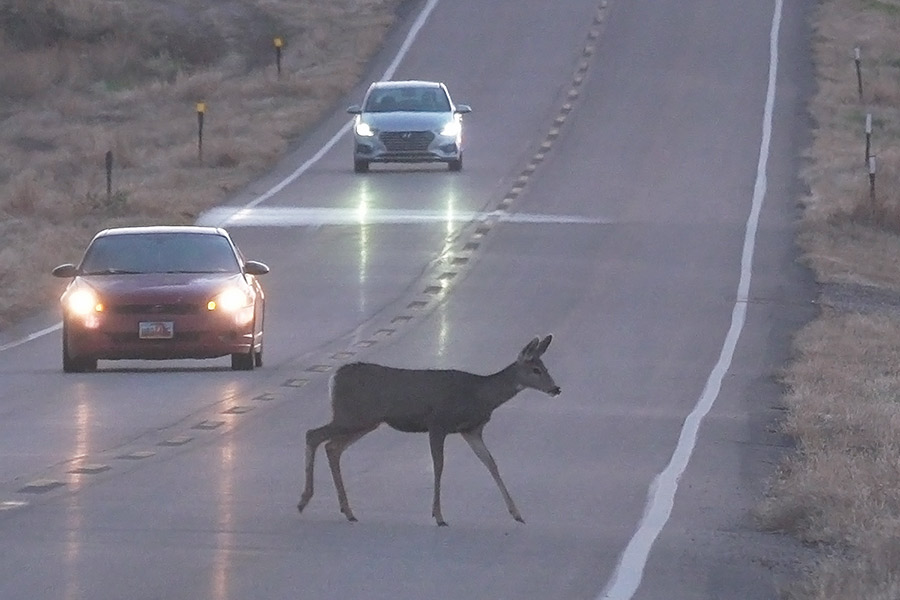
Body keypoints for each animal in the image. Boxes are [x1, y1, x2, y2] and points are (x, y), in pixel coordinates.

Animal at [298, 336, 560, 528]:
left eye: (545, 367)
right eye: (536, 369)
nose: (556, 388)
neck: (479, 395)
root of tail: (333, 378)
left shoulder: (471, 431)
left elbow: (491, 464)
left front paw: (517, 513)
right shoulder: (437, 423)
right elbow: (439, 465)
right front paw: (439, 516)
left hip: (365, 422)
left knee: (332, 447)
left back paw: (347, 511)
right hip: (352, 416)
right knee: (313, 435)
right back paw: (304, 501)